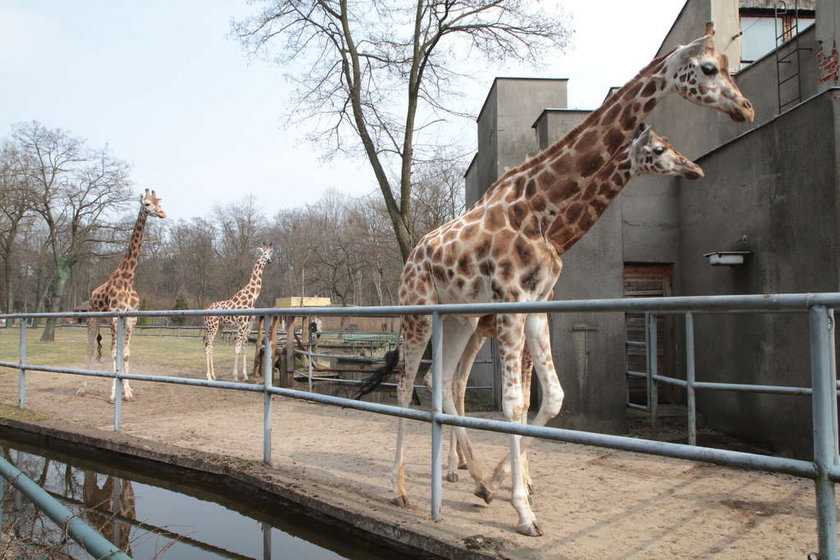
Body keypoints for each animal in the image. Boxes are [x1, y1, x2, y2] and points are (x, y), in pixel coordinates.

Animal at [203, 243, 272, 382]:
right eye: (266, 253)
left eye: (270, 253)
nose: (270, 261)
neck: (252, 297)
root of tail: (205, 312)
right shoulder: (241, 325)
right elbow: (237, 349)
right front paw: (235, 377)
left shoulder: (248, 326)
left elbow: (244, 349)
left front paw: (244, 376)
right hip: (211, 328)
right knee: (207, 347)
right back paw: (208, 377)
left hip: (219, 327)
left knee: (211, 347)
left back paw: (214, 375)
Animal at [358, 27, 752, 540]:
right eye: (708, 68)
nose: (746, 108)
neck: (540, 209)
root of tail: (410, 259)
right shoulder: (510, 300)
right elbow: (513, 403)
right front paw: (523, 510)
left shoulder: (538, 303)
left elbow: (552, 397)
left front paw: (507, 485)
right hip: (418, 313)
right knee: (408, 385)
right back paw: (401, 487)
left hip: (460, 320)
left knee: (441, 382)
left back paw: (470, 479)